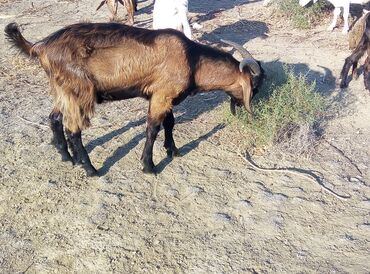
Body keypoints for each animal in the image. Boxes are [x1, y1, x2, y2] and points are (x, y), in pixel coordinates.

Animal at [4, 21, 264, 176]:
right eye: (255, 87)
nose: (252, 108)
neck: (192, 60)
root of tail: (40, 47)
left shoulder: (164, 95)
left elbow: (169, 123)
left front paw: (173, 150)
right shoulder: (161, 96)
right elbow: (152, 128)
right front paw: (149, 165)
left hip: (63, 90)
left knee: (55, 118)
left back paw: (67, 157)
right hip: (80, 90)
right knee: (73, 128)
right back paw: (90, 168)